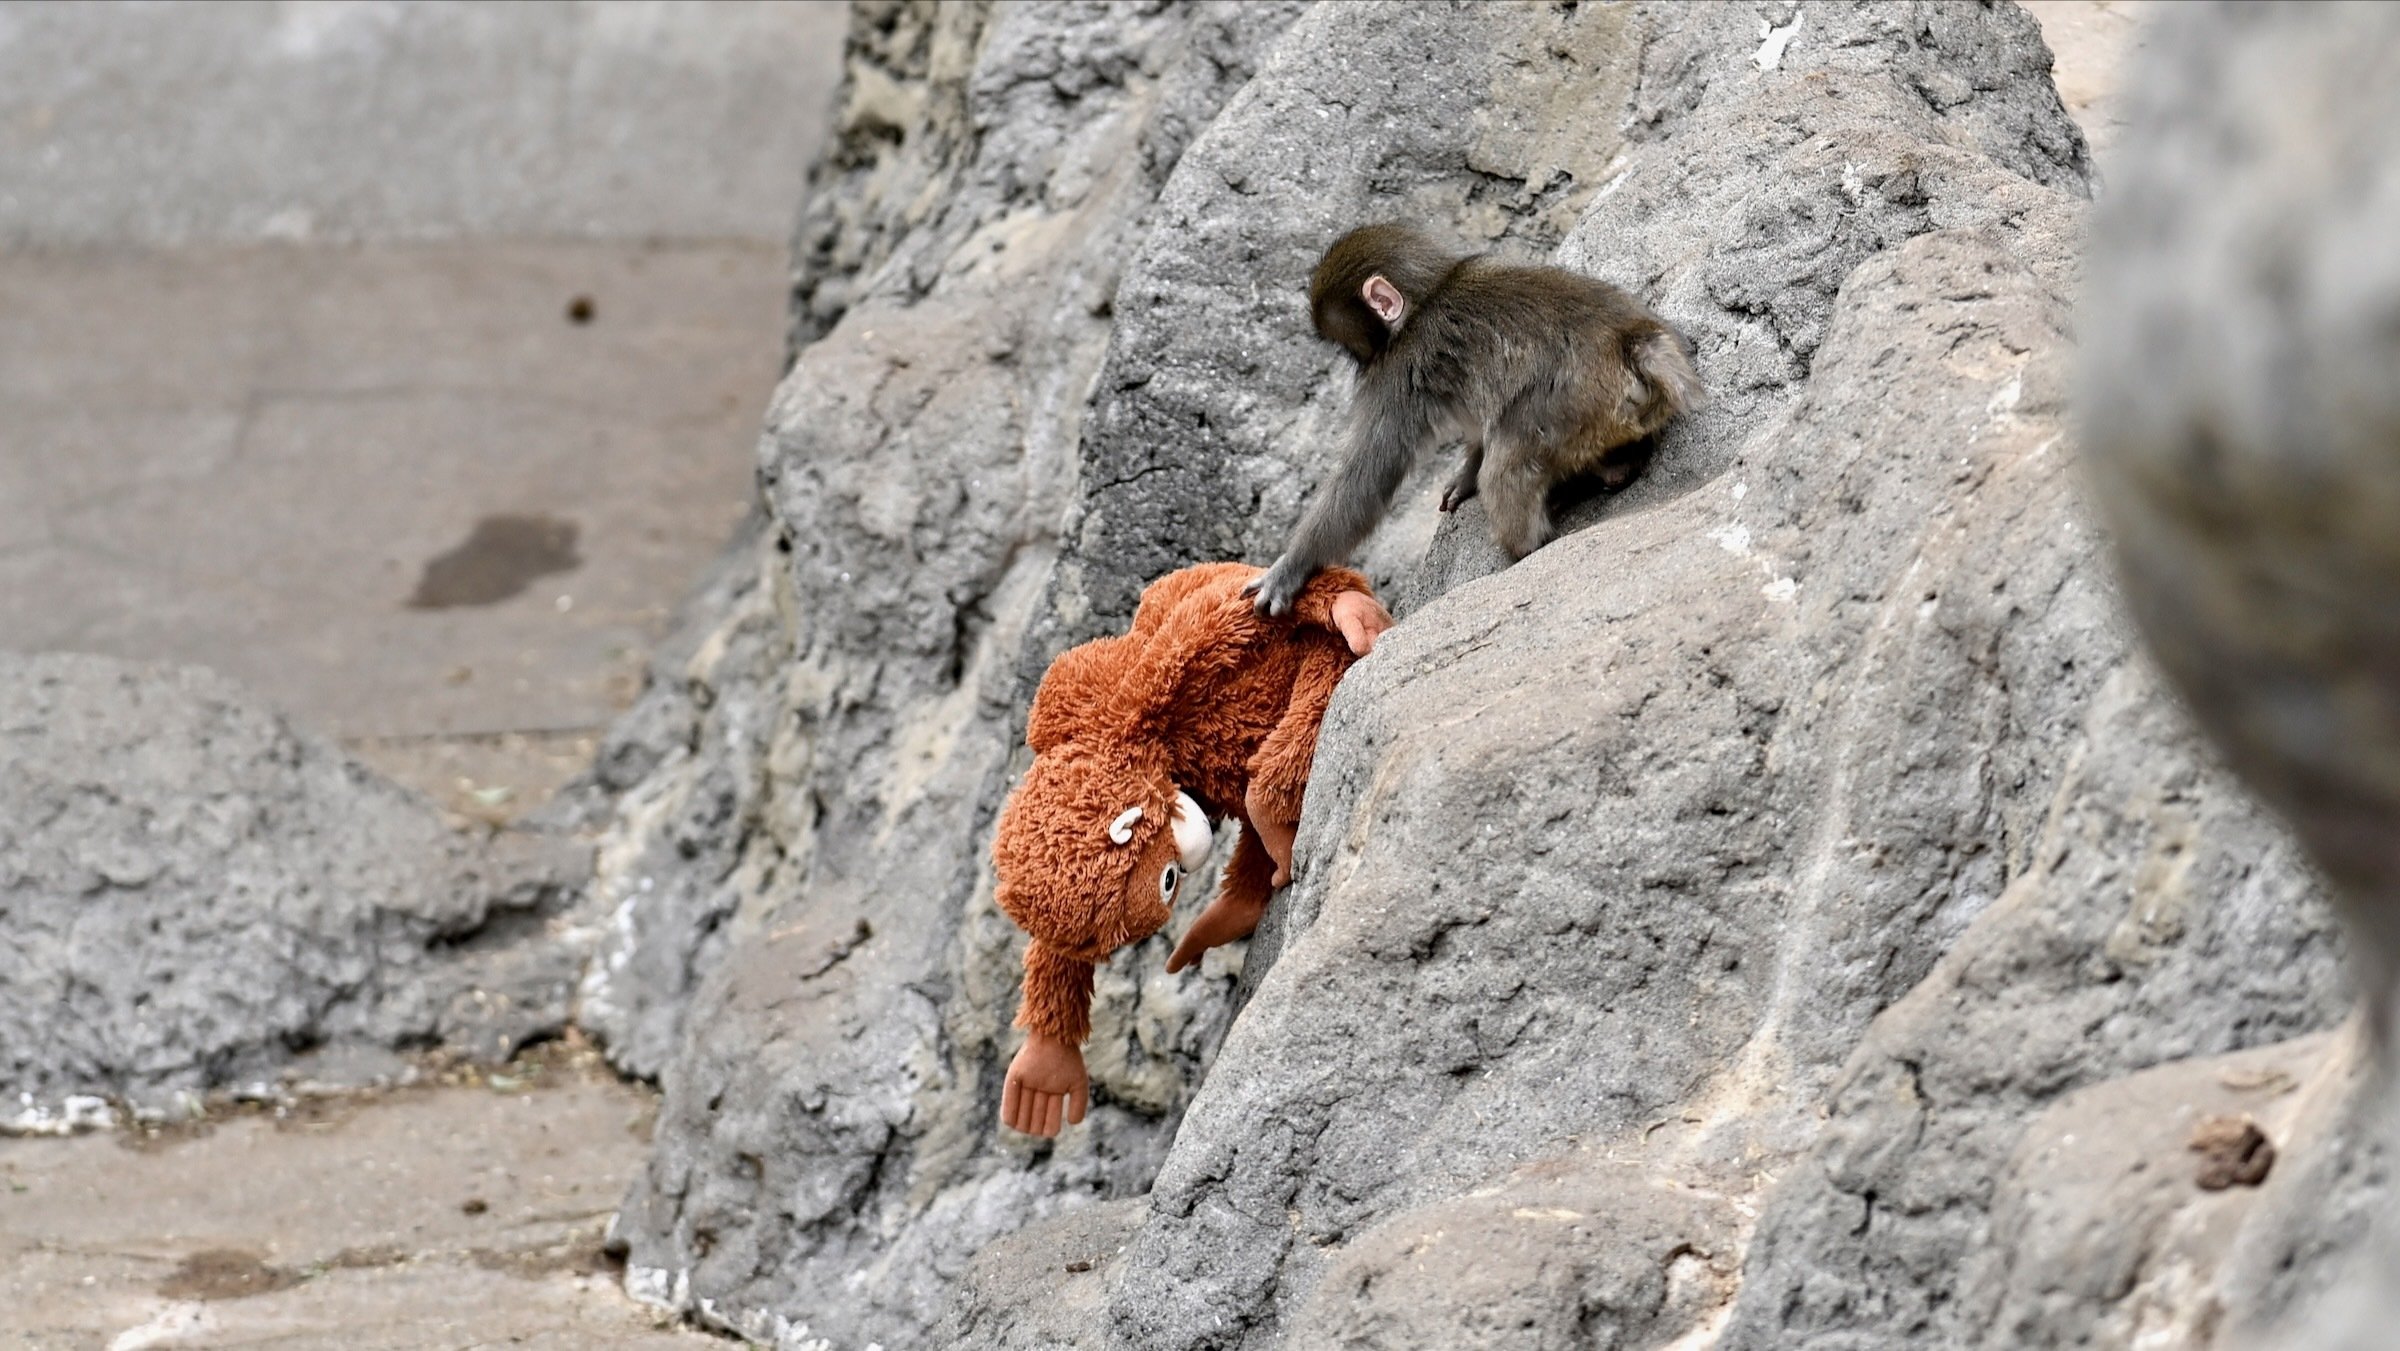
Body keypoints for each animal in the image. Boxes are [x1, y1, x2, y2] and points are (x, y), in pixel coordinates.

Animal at [1246, 223, 1705, 617]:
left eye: (1351, 349)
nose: (1357, 367)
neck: (1430, 293)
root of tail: (1633, 340)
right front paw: (1464, 475)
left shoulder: (1396, 373)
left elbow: (1367, 475)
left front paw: (1291, 567)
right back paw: (1618, 466)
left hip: (1567, 407)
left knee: (1506, 467)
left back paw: (1524, 546)